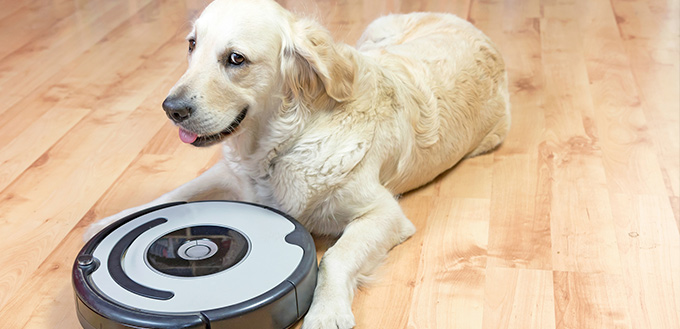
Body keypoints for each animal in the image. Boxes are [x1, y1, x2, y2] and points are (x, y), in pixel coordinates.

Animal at [86, 0, 510, 326]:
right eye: (192, 45)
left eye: (236, 59)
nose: (171, 109)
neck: (282, 145)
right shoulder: (231, 172)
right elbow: (177, 193)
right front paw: (115, 219)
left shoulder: (383, 212)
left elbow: (336, 258)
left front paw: (327, 312)